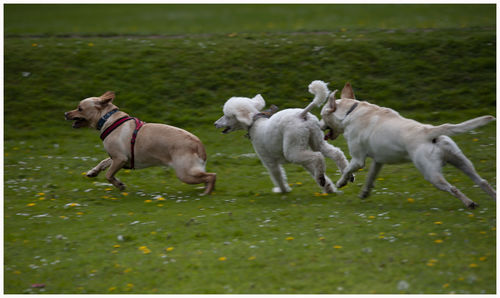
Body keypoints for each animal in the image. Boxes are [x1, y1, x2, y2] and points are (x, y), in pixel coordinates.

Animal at [64, 91, 215, 196]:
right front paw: (93, 172)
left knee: (211, 176)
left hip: (185, 173)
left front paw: (120, 185)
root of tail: (198, 144)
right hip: (190, 171)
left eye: (79, 108)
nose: (65, 113)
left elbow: (109, 175)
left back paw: (206, 193)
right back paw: (206, 189)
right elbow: (103, 162)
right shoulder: (118, 157)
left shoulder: (120, 158)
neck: (107, 119)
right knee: (207, 177)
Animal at [213, 80, 350, 194]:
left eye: (227, 116)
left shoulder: (269, 161)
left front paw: (283, 190)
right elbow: (312, 170)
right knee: (335, 153)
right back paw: (346, 175)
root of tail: (301, 114)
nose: (215, 124)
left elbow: (277, 175)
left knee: (318, 156)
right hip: (314, 140)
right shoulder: (304, 158)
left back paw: (322, 177)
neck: (255, 123)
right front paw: (329, 188)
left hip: (293, 150)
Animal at [320, 81, 496, 207]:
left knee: (453, 188)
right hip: (462, 162)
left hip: (431, 173)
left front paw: (341, 182)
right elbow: (370, 178)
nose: (320, 126)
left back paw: (469, 203)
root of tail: (429, 131)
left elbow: (346, 170)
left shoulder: (358, 160)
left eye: (322, 115)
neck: (350, 112)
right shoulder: (378, 161)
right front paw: (364, 193)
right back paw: (492, 198)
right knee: (483, 182)